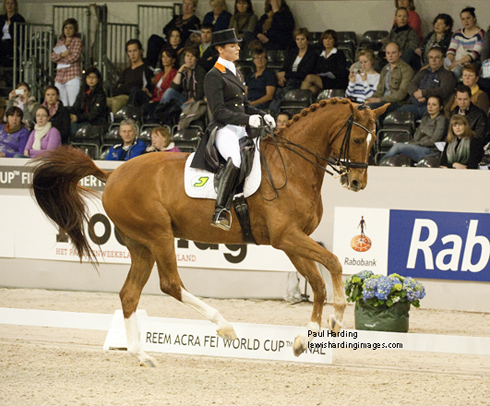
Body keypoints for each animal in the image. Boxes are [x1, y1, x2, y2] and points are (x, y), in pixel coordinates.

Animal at [32, 99, 388, 368]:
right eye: (359, 140)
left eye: (374, 142)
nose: (357, 183)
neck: (293, 166)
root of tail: (112, 174)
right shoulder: (287, 237)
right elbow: (334, 264)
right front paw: (337, 319)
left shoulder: (292, 242)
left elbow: (317, 283)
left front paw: (306, 338)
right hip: (159, 235)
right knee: (170, 284)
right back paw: (224, 327)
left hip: (141, 245)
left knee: (129, 294)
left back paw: (141, 355)